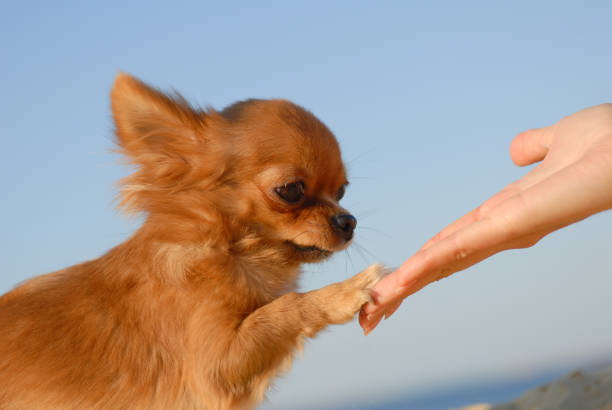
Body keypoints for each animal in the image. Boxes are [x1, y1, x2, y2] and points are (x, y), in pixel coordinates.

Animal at [0, 74, 382, 410]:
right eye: (291, 190)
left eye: (341, 191)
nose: (348, 221)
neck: (228, 251)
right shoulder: (215, 366)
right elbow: (283, 308)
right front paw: (344, 291)